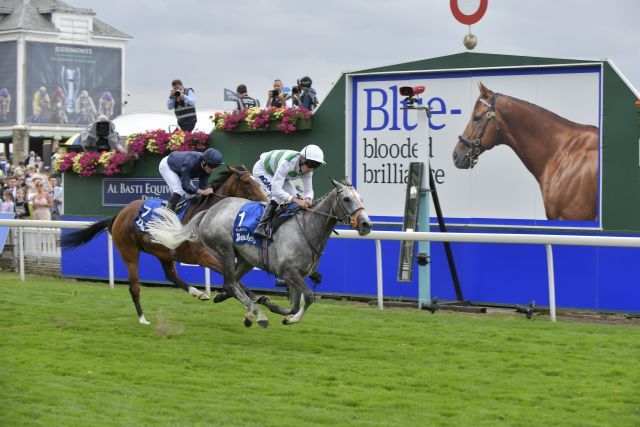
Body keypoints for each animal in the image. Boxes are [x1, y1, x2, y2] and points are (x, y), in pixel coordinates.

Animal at [61, 166, 266, 324]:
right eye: (247, 183)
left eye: (257, 181)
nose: (265, 201)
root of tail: (120, 213)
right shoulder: (204, 256)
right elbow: (232, 279)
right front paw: (253, 302)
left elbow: (235, 279)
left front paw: (257, 298)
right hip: (129, 252)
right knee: (134, 287)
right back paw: (143, 319)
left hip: (163, 252)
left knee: (171, 275)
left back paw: (197, 292)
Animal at [147, 180, 372, 328]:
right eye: (346, 199)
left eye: (361, 198)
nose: (366, 224)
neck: (307, 228)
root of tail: (210, 211)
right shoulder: (289, 272)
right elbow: (308, 297)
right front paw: (290, 318)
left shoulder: (297, 275)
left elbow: (294, 305)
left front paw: (279, 311)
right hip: (224, 250)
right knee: (230, 283)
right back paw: (258, 315)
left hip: (245, 259)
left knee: (232, 283)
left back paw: (242, 307)